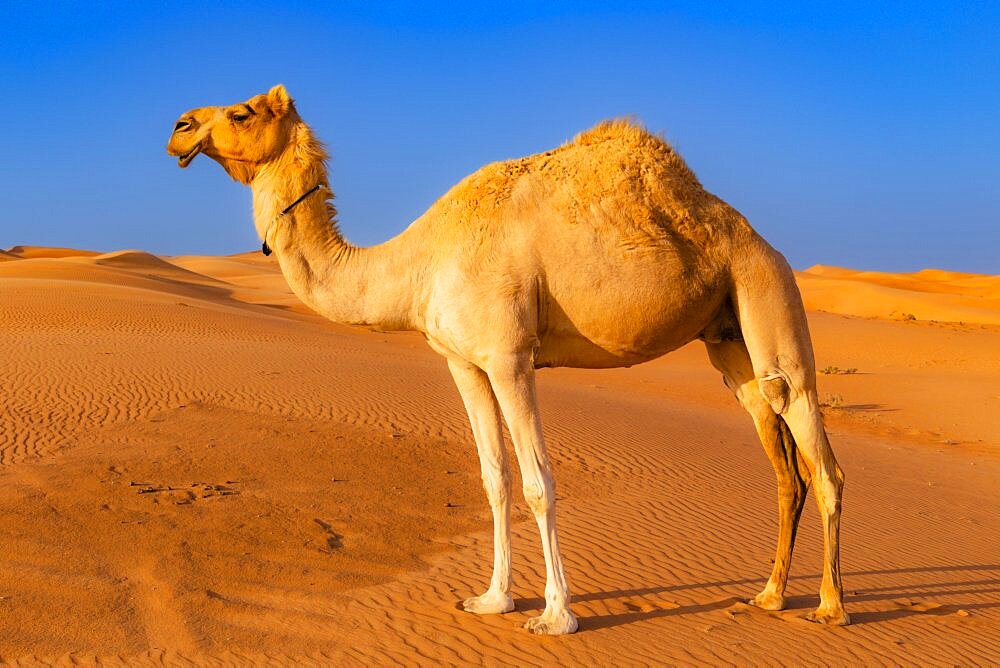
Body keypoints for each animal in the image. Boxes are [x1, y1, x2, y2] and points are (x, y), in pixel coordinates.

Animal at [168, 86, 848, 636]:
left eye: (241, 111)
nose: (178, 125)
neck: (418, 263)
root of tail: (762, 242)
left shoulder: (510, 357)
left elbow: (538, 482)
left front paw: (556, 615)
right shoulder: (463, 362)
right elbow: (493, 479)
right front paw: (492, 599)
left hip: (767, 288)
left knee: (817, 450)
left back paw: (830, 606)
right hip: (728, 336)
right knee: (780, 454)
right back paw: (769, 596)